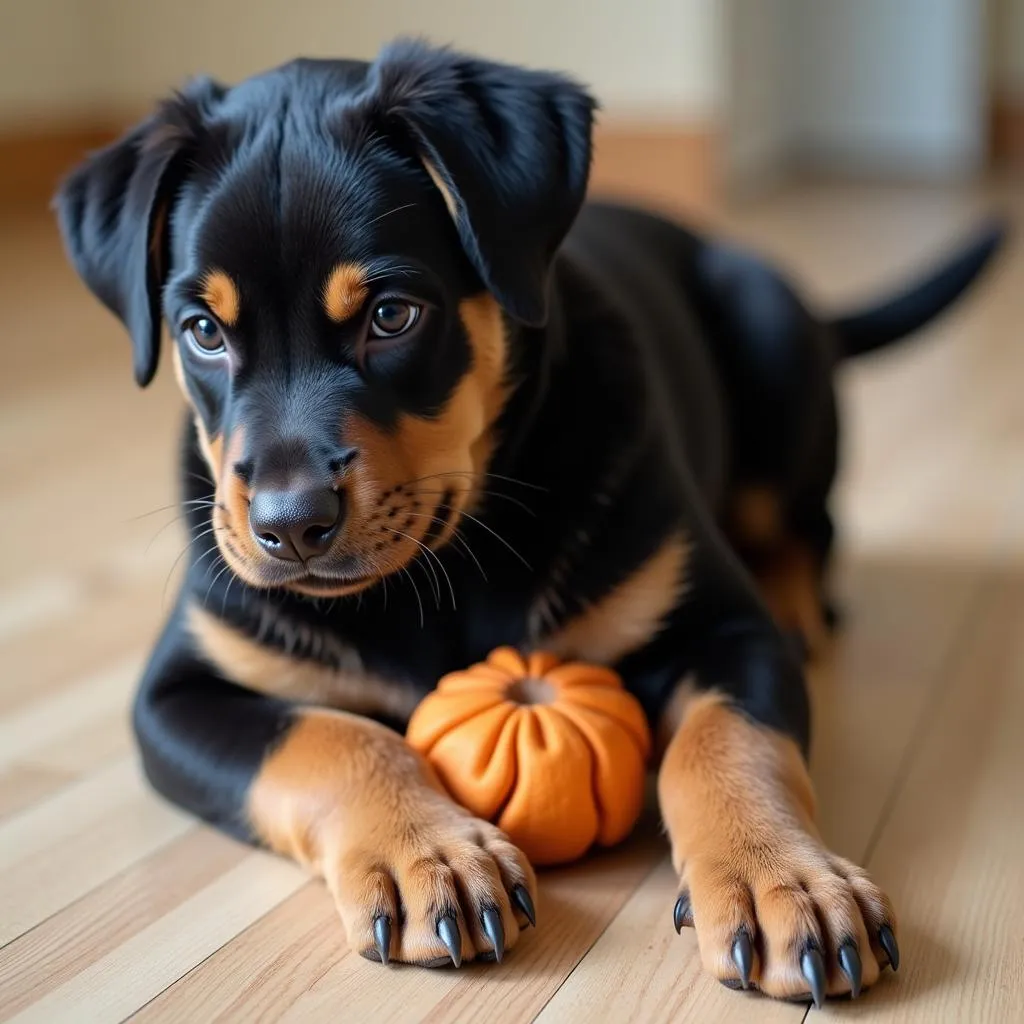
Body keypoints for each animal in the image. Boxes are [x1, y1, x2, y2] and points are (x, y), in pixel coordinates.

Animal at [54, 41, 999, 1007]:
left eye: (393, 315)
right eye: (202, 331)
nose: (291, 526)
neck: (442, 576)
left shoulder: (727, 630)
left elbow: (733, 741)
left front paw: (784, 878)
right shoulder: (177, 691)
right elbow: (326, 735)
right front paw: (424, 854)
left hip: (771, 331)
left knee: (811, 527)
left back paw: (800, 603)